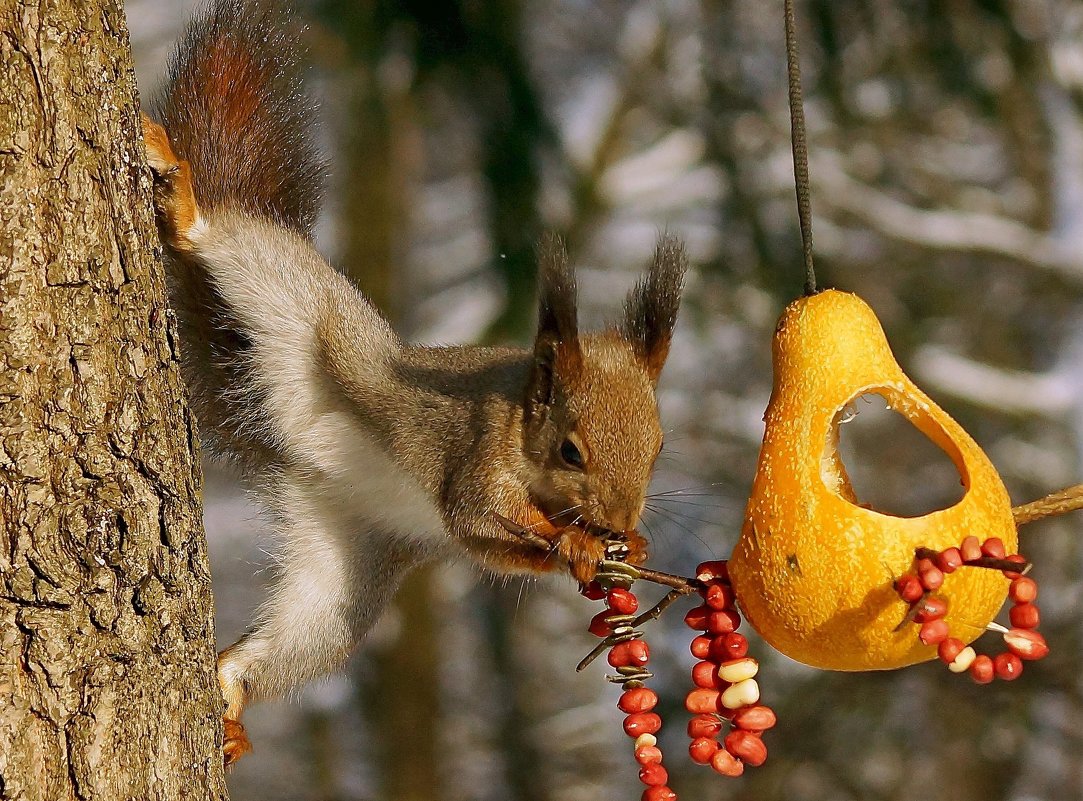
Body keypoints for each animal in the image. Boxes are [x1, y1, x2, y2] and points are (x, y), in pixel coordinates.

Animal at [141, 0, 684, 766]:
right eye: (570, 450)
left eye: (659, 447)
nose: (618, 521)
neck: (518, 417)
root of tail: (303, 455)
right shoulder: (473, 456)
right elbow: (477, 518)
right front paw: (578, 544)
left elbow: (495, 550)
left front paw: (621, 549)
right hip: (299, 305)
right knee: (221, 243)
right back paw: (188, 207)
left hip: (344, 570)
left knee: (291, 642)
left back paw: (231, 690)